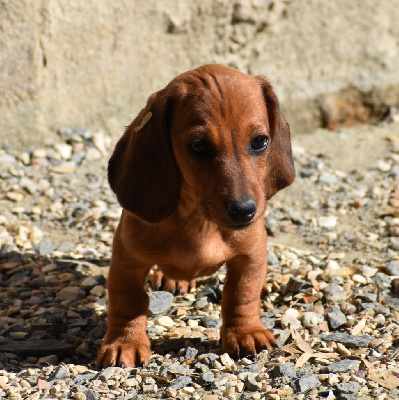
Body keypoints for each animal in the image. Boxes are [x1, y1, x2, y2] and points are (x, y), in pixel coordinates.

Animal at [97, 64, 296, 368]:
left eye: (260, 142)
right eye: (199, 146)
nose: (245, 210)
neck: (200, 220)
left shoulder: (251, 253)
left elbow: (242, 293)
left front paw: (246, 331)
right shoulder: (126, 260)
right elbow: (128, 301)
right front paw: (125, 342)